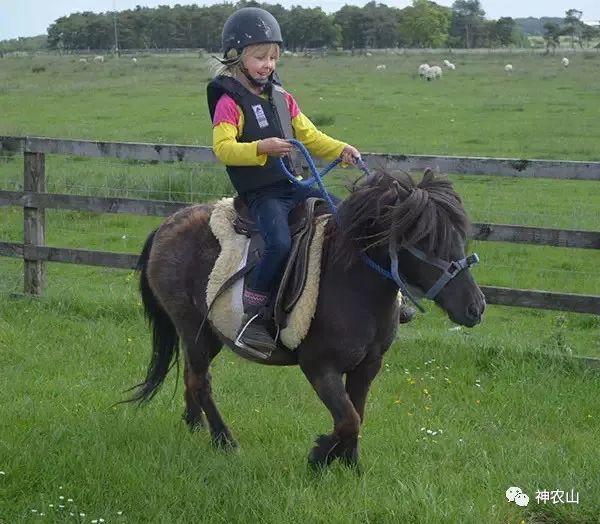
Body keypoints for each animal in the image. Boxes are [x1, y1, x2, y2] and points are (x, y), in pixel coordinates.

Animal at [129, 170, 486, 468]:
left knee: (193, 375)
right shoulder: (319, 367)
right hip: (192, 328)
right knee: (201, 382)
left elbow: (357, 413)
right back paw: (225, 441)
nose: (476, 307)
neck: (350, 282)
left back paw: (194, 424)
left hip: (209, 334)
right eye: (426, 240)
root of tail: (166, 224)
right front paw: (321, 455)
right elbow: (348, 419)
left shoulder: (368, 365)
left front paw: (349, 463)